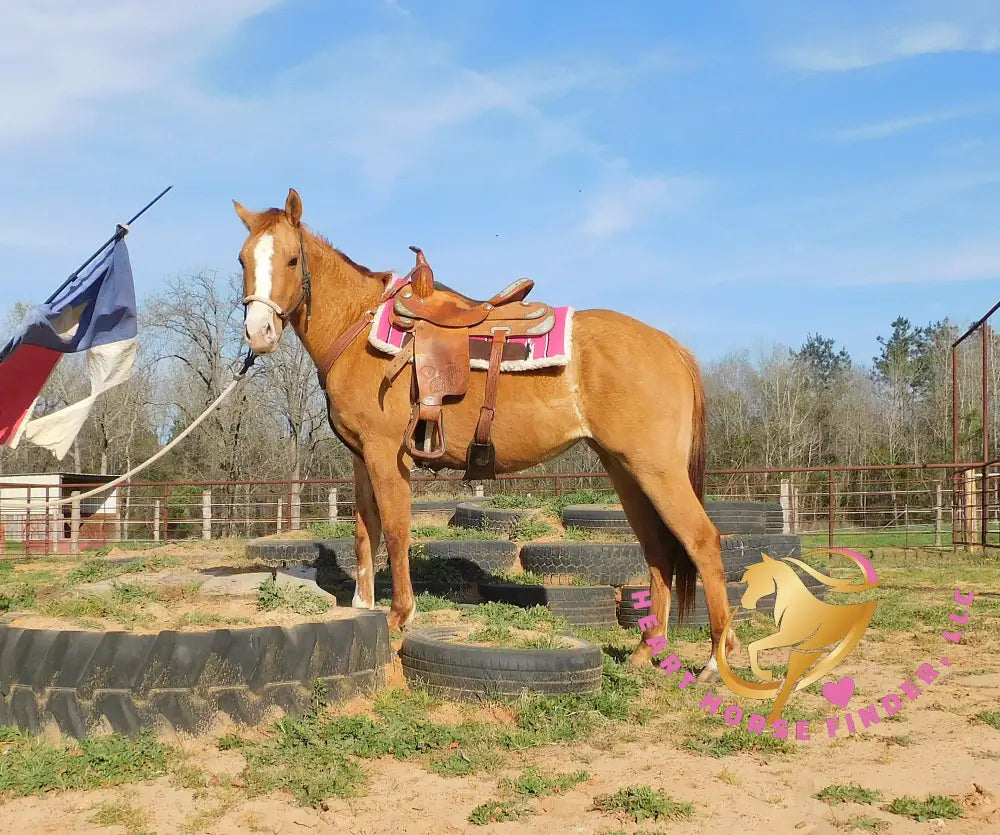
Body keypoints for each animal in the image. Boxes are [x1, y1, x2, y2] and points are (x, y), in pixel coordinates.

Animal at [233, 188, 735, 679]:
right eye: (242, 260)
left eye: (292, 259)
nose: (259, 333)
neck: (358, 328)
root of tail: (669, 345)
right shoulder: (361, 459)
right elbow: (364, 529)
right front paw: (362, 606)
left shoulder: (385, 454)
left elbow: (394, 530)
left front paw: (399, 615)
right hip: (626, 470)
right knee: (658, 550)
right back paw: (645, 651)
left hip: (656, 469)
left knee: (702, 541)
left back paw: (715, 660)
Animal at [716, 552, 878, 722]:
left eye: (755, 579)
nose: (743, 602)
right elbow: (754, 646)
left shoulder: (788, 636)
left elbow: (754, 645)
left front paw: (764, 675)